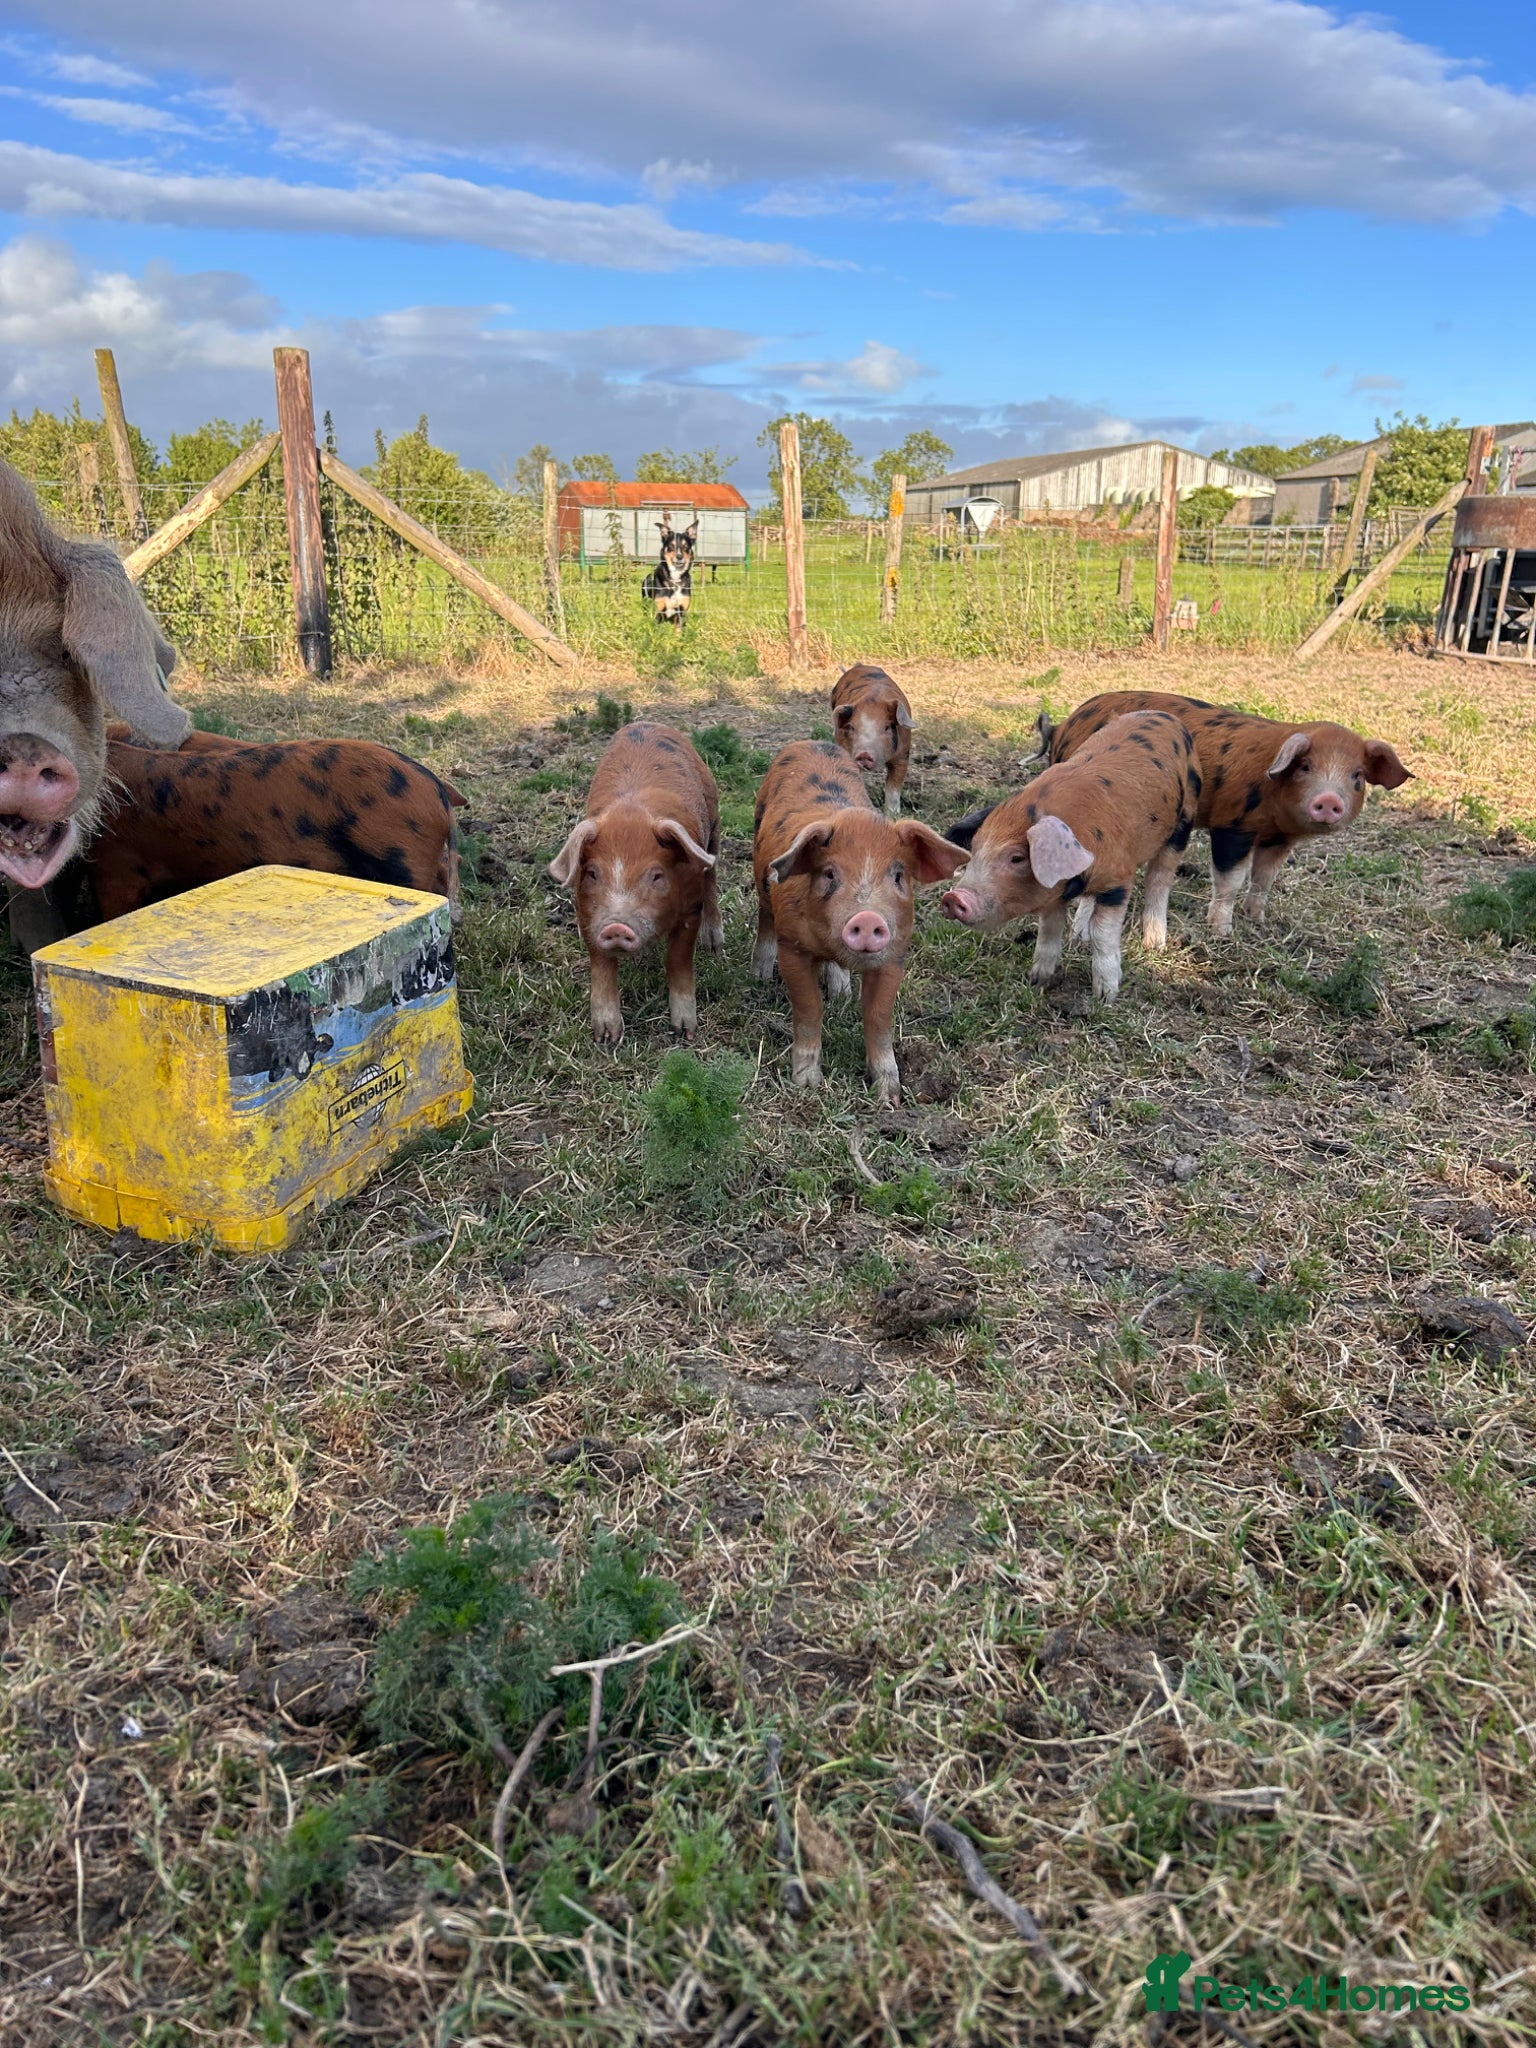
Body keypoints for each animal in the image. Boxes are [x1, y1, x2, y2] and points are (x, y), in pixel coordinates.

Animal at [548, 721, 722, 1046]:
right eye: (593, 873)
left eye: (656, 875)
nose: (617, 926)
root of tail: (648, 723)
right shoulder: (587, 913)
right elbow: (601, 964)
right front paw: (606, 1038)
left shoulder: (691, 908)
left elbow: (678, 959)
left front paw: (685, 1032)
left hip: (715, 822)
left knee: (712, 877)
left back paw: (715, 946)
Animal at [752, 739, 968, 1103]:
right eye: (829, 873)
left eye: (898, 875)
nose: (867, 917)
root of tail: (812, 742)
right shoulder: (792, 948)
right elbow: (809, 1007)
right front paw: (807, 1084)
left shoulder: (894, 955)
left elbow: (878, 1016)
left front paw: (889, 1096)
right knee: (764, 918)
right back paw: (761, 976)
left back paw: (842, 993)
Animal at [830, 662, 913, 814]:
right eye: (852, 727)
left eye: (887, 727)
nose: (864, 754)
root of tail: (860, 665)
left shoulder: (903, 755)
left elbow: (894, 788)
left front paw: (893, 814)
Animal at [941, 710, 1199, 1003]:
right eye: (974, 848)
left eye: (1017, 857)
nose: (953, 897)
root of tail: (1166, 715)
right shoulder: (1053, 893)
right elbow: (1049, 931)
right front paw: (1038, 981)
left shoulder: (1119, 880)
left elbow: (1103, 934)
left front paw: (1105, 996)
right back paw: (1078, 935)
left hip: (1183, 823)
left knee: (1160, 879)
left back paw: (1154, 944)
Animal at [1039, 690, 1411, 937]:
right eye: (1306, 766)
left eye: (1357, 776)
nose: (1330, 800)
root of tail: (1063, 726)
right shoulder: (1233, 824)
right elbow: (1231, 878)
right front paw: (1221, 932)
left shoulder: (1277, 838)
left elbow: (1264, 878)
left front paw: (1258, 920)